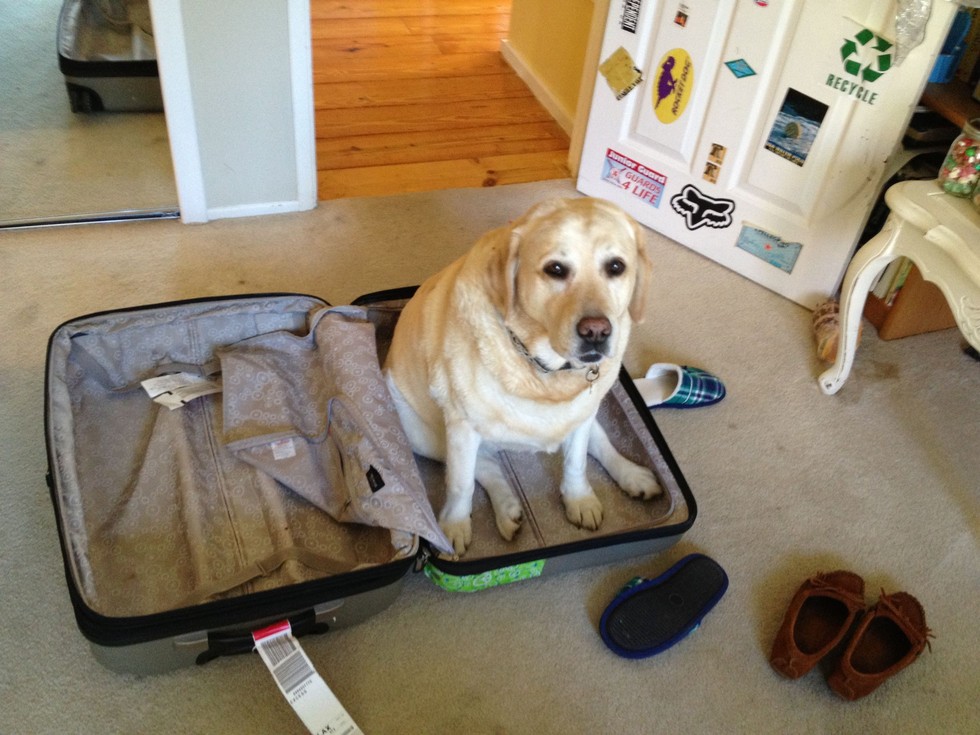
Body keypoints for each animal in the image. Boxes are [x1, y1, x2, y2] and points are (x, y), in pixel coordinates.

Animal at [382, 198, 660, 556]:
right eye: (555, 269)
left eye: (616, 267)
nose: (597, 331)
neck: (544, 369)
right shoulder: (461, 426)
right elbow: (460, 484)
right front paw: (455, 525)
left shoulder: (581, 414)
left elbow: (577, 462)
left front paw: (579, 499)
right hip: (419, 431)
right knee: (483, 465)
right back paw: (507, 507)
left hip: (585, 412)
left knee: (598, 442)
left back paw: (632, 475)